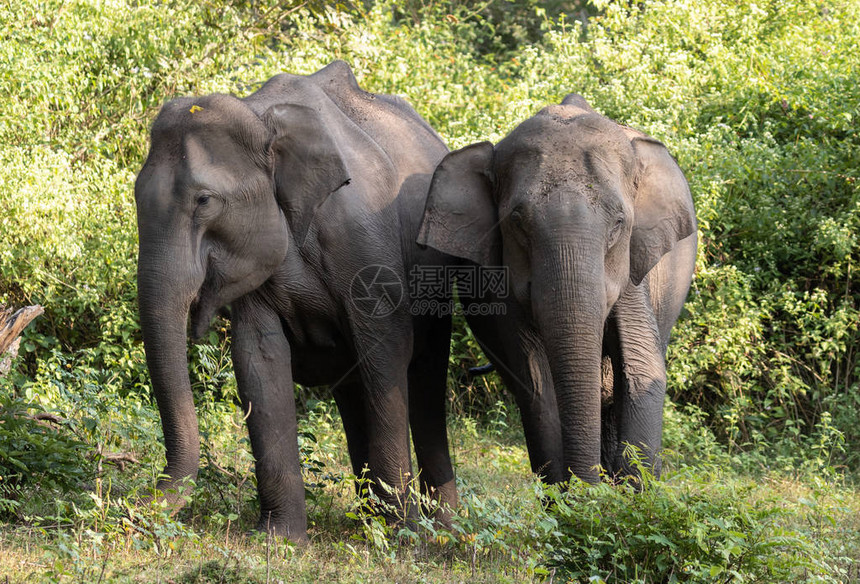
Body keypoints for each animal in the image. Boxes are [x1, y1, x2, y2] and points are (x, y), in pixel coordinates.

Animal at [132, 61, 456, 540]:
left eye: (204, 200)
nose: (136, 505)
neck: (261, 115)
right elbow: (258, 357)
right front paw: (279, 539)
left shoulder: (366, 237)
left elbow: (386, 350)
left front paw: (403, 536)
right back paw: (368, 521)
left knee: (426, 376)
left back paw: (441, 530)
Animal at [418, 94, 700, 484]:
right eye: (517, 222)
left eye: (619, 224)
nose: (588, 487)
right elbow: (536, 382)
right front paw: (571, 497)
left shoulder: (633, 269)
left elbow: (642, 369)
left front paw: (629, 494)